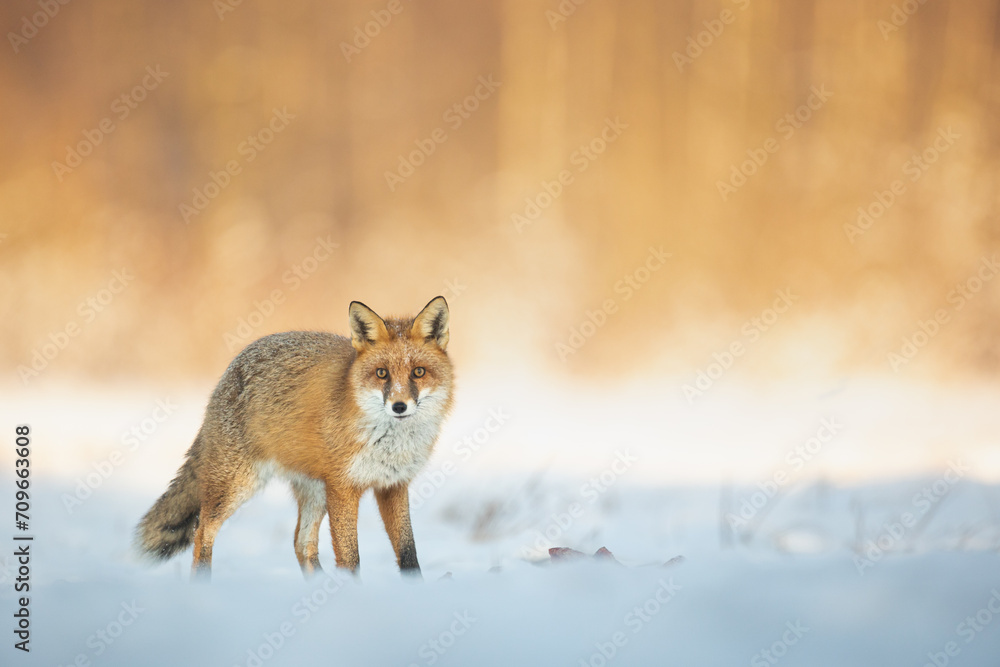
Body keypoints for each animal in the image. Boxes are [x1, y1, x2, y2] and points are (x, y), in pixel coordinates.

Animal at [135, 296, 453, 579]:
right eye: (382, 374)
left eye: (418, 372)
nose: (399, 406)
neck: (391, 444)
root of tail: (231, 369)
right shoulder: (344, 487)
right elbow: (350, 559)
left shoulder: (393, 485)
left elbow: (409, 555)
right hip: (238, 484)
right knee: (202, 532)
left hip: (315, 492)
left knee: (302, 545)